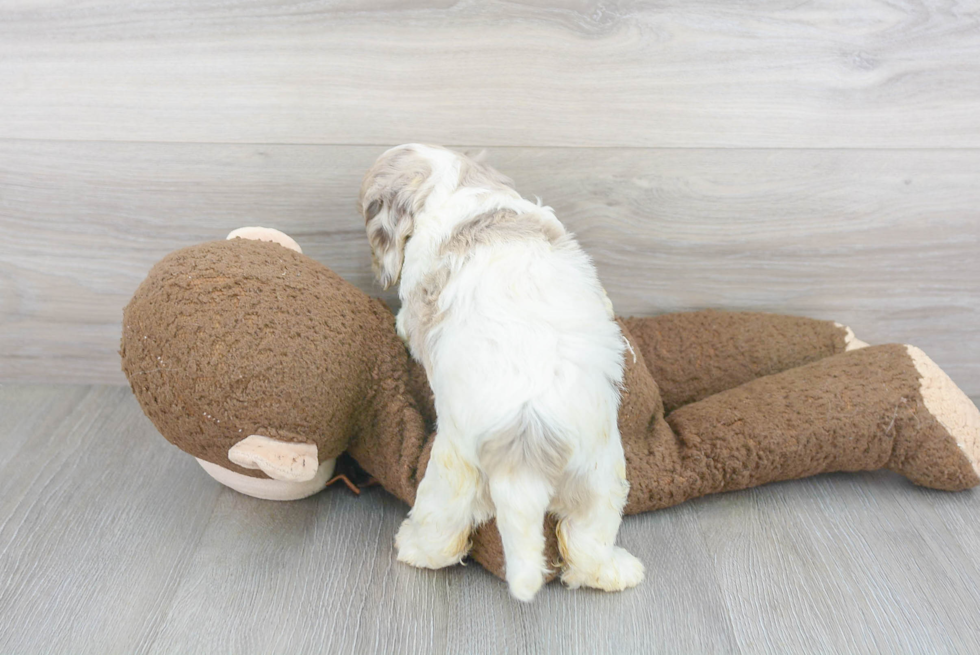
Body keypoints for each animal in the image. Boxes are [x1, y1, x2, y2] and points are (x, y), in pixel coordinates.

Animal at [360, 146, 644, 604]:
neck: (452, 185)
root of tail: (523, 456)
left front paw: (400, 326)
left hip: (451, 475)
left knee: (442, 538)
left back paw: (411, 546)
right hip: (602, 478)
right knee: (587, 543)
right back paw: (617, 572)